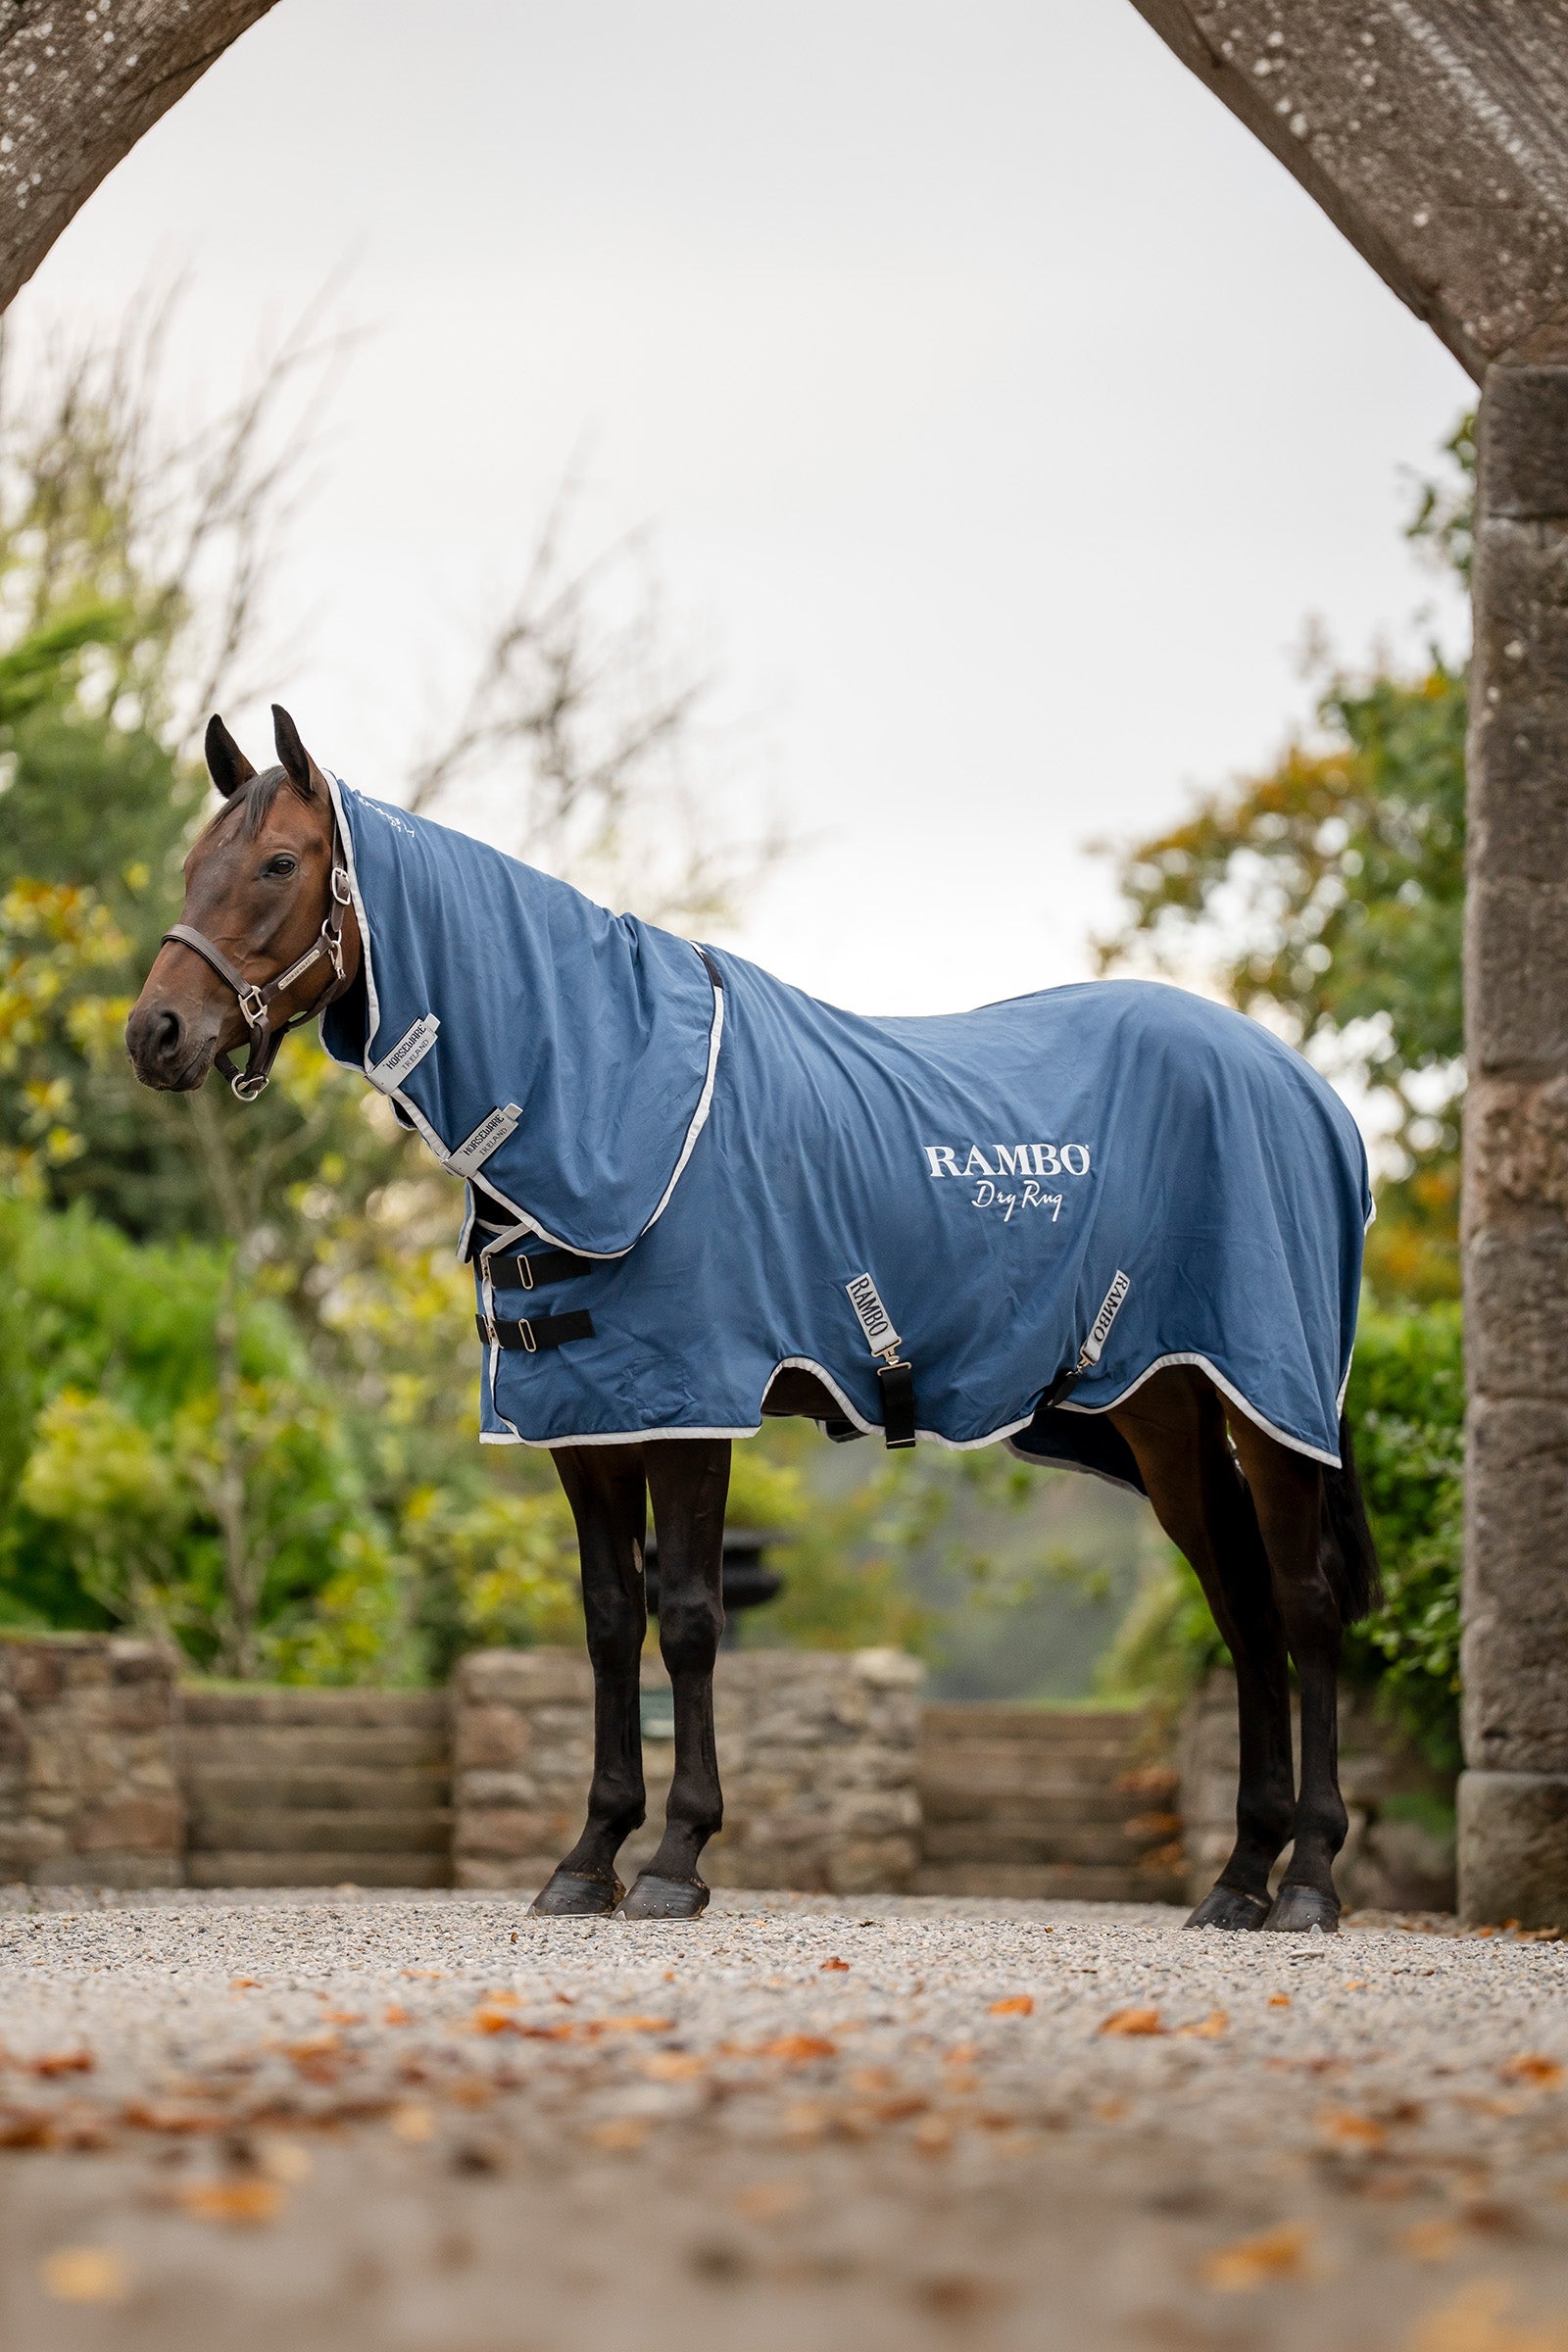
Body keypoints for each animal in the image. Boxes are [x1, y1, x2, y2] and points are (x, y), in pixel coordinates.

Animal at [126, 704, 1380, 1932]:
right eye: (193, 864)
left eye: (280, 862)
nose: (156, 1035)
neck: (605, 1085)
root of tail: (1311, 1091)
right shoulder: (588, 1419)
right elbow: (607, 1622)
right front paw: (587, 1859)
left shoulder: (695, 1408)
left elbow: (687, 1618)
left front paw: (676, 1860)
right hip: (1166, 1406)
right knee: (1242, 1606)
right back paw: (1236, 1878)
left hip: (1266, 1399)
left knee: (1305, 1606)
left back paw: (1308, 1883)